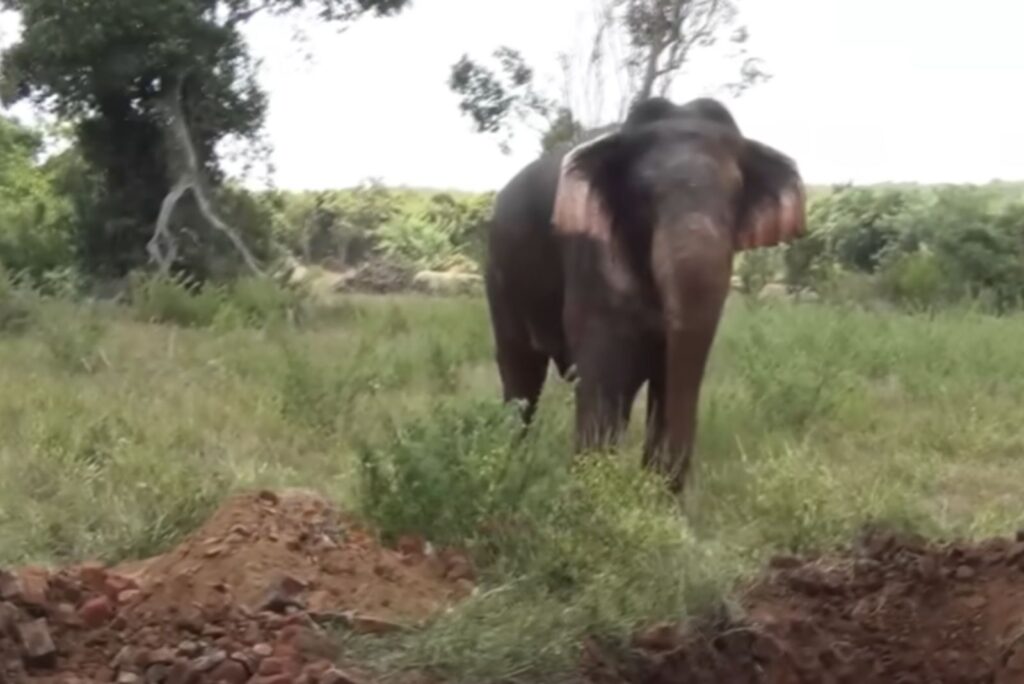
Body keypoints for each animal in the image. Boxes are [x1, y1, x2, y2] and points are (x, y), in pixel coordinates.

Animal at [483, 96, 802, 491]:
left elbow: (671, 376)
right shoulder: (592, 259)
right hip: (500, 273)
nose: (666, 490)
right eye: (641, 194)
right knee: (521, 374)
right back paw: (506, 469)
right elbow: (604, 383)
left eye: (736, 194)